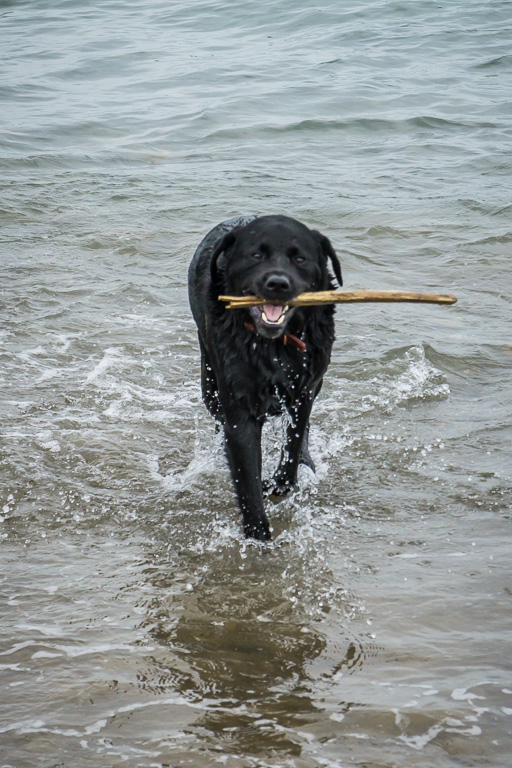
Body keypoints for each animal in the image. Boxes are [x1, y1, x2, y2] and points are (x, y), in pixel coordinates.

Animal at [186, 213, 342, 544]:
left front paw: (283, 482)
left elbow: (294, 441)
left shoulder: (305, 387)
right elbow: (247, 479)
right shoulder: (239, 408)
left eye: (299, 258)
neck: (274, 346)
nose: (278, 283)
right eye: (256, 255)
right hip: (209, 383)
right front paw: (257, 535)